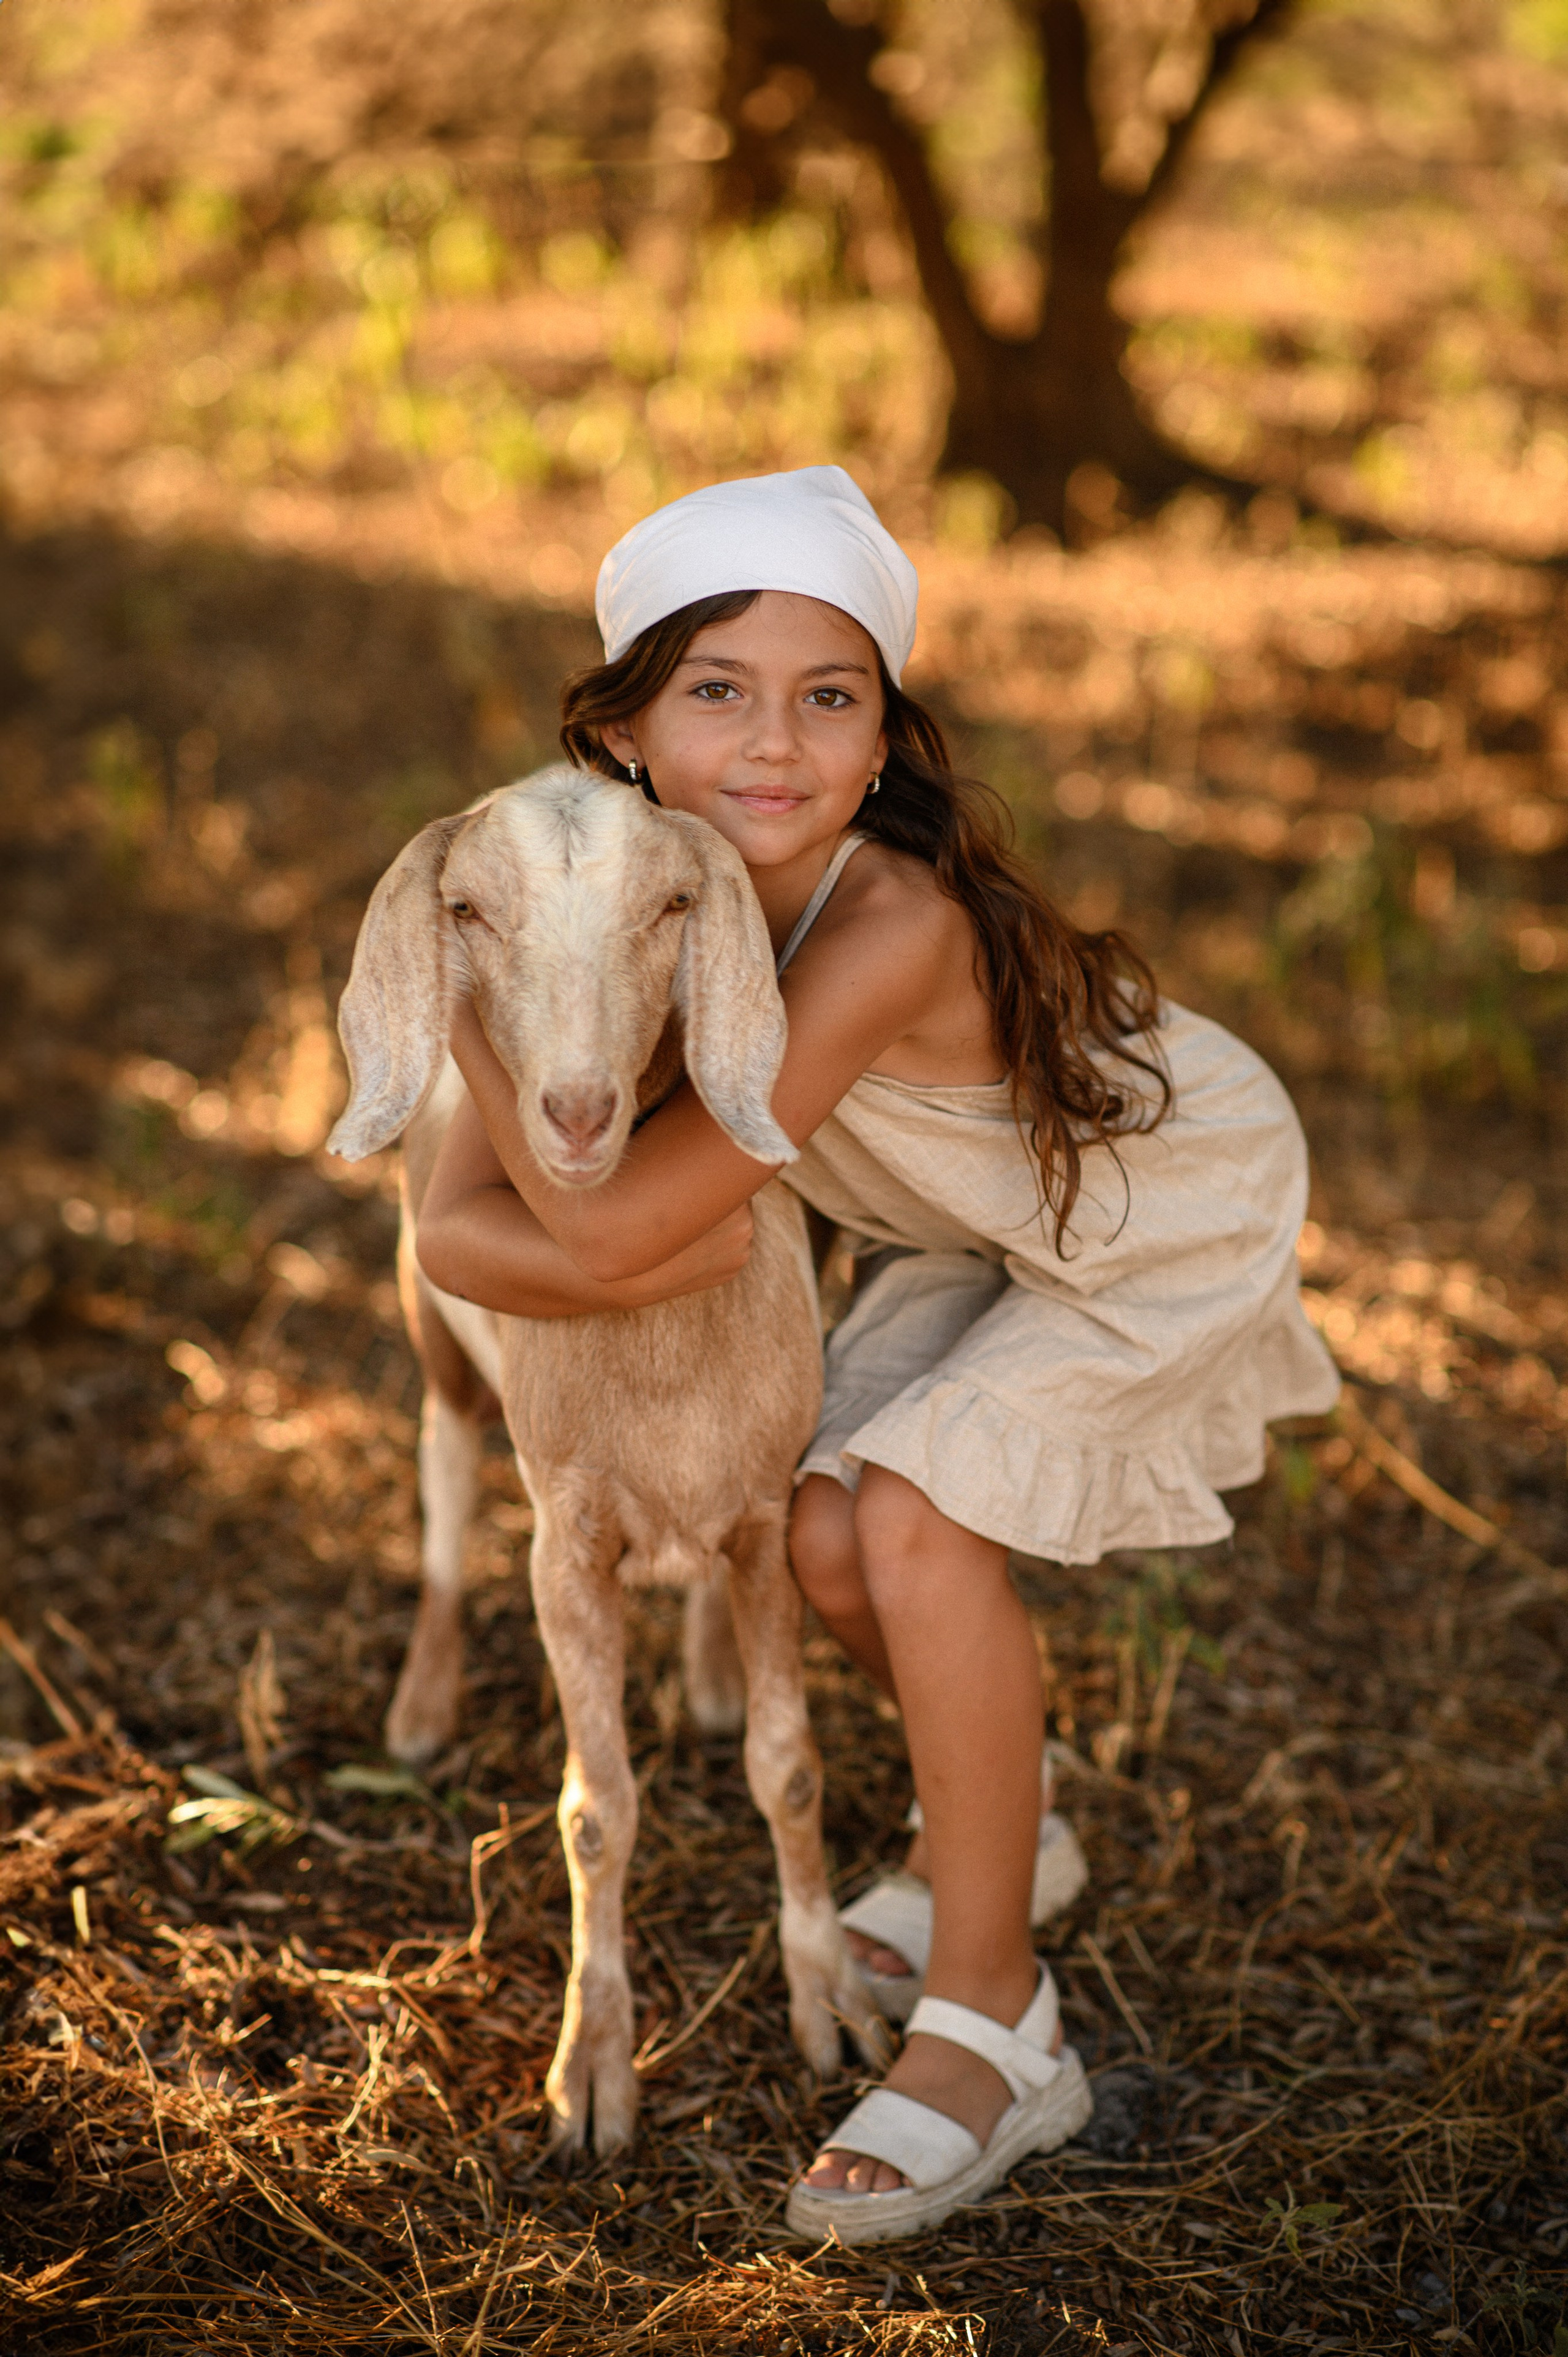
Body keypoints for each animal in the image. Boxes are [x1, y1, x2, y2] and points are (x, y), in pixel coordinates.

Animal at [328, 764, 882, 2154]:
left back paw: (707, 1673)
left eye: (675, 903)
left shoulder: (765, 1509)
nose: (576, 1116)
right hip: (434, 1338)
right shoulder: (565, 1544)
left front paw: (830, 2004)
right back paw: (420, 1708)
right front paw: (592, 2069)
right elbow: (596, 1809)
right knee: (442, 1488)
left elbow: (790, 1769)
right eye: (465, 909)